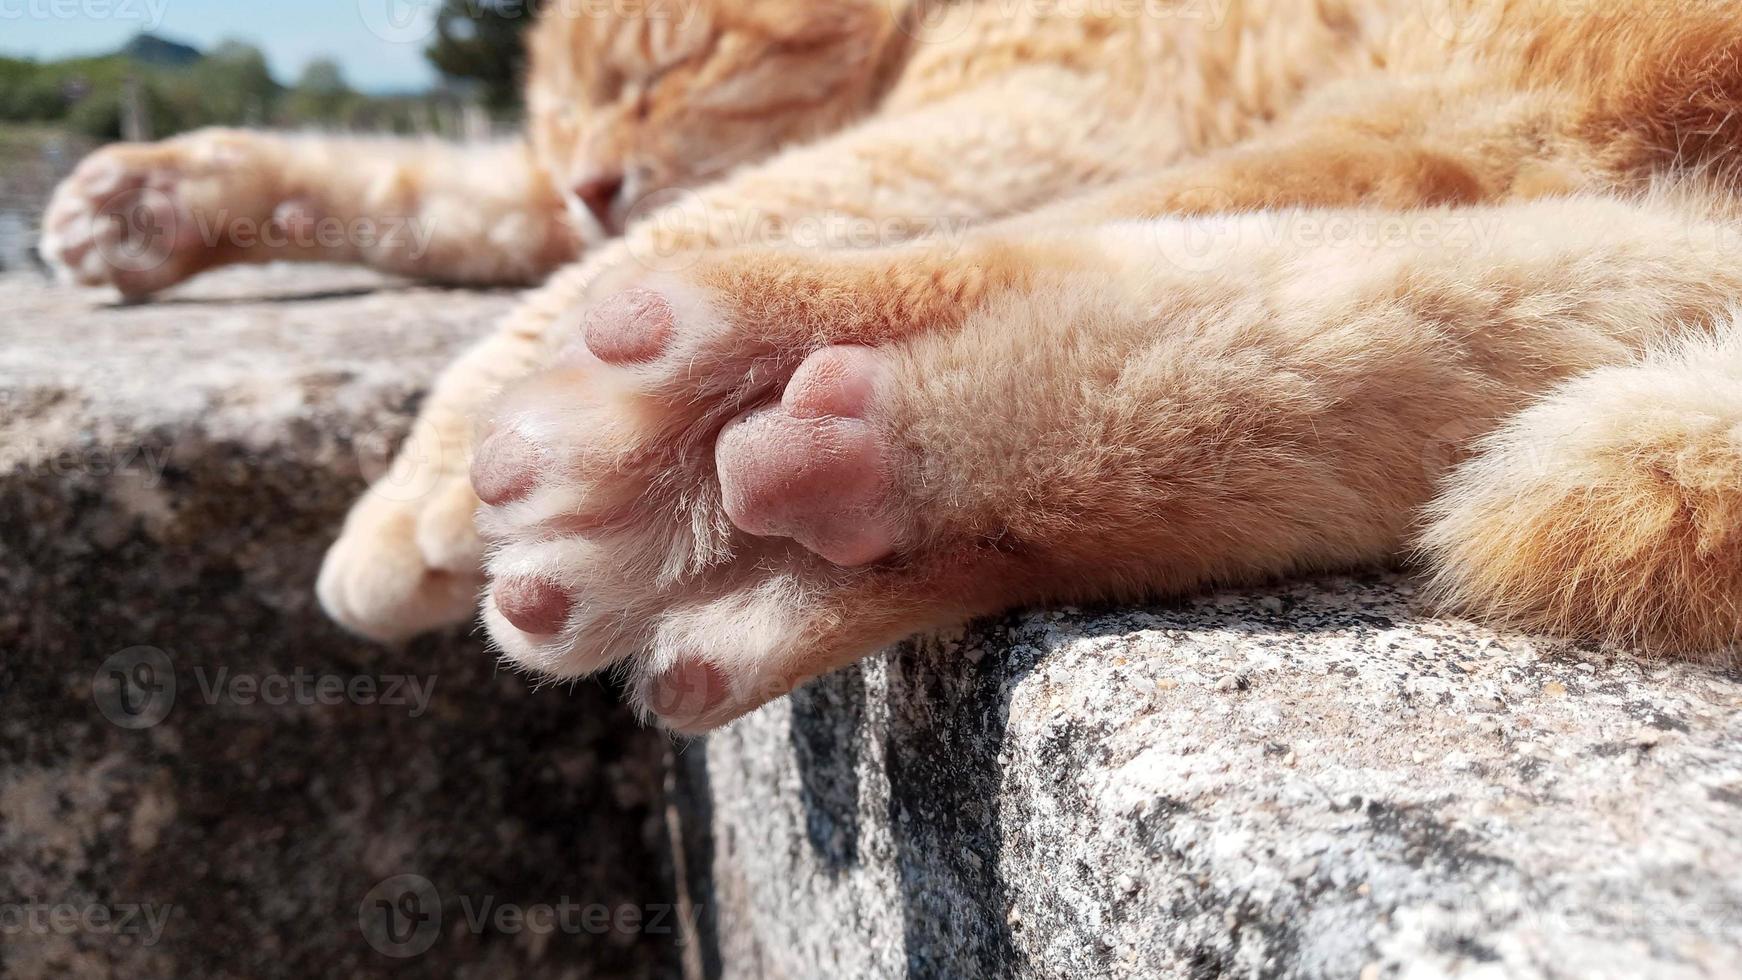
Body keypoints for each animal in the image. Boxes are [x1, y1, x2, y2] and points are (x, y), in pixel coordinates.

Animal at [40, 0, 1742, 731]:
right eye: (563, 104)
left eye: (669, 65)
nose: (591, 171)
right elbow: (445, 191)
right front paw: (157, 199)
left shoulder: (1052, 111)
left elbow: (657, 240)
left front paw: (418, 501)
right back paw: (847, 499)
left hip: (1451, 86)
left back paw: (761, 408)